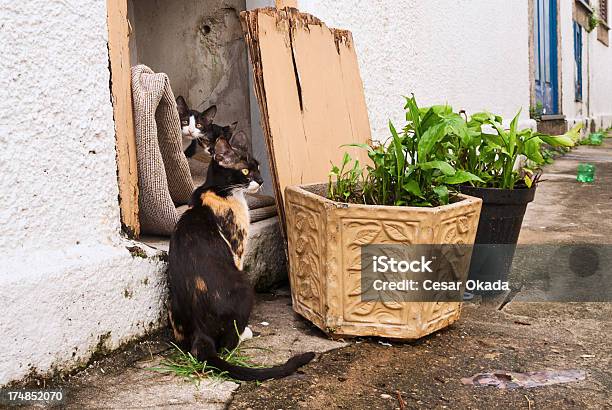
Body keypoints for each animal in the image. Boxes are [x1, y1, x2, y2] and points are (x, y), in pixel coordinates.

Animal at [167, 133, 314, 380]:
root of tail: (200, 331)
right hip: (245, 286)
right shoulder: (237, 247)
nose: (262, 180)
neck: (217, 190)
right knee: (228, 344)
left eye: (258, 166)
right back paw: (245, 333)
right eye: (245, 171)